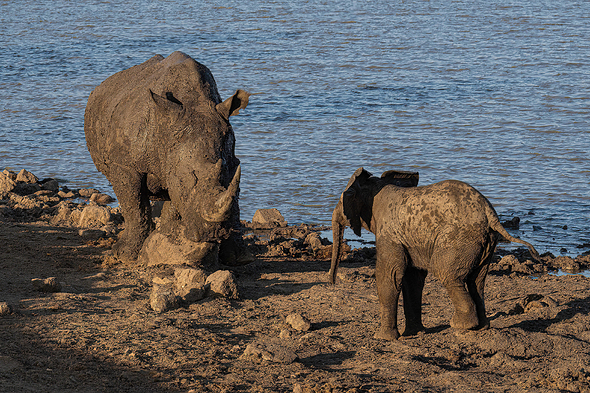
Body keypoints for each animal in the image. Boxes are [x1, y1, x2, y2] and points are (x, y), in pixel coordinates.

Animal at [328, 167, 540, 338]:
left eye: (347, 195)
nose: (331, 282)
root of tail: (491, 214)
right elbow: (412, 279)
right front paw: (413, 333)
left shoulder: (389, 233)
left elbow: (389, 276)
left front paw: (383, 338)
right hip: (486, 243)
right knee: (477, 280)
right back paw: (482, 327)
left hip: (459, 239)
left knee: (448, 273)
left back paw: (461, 325)